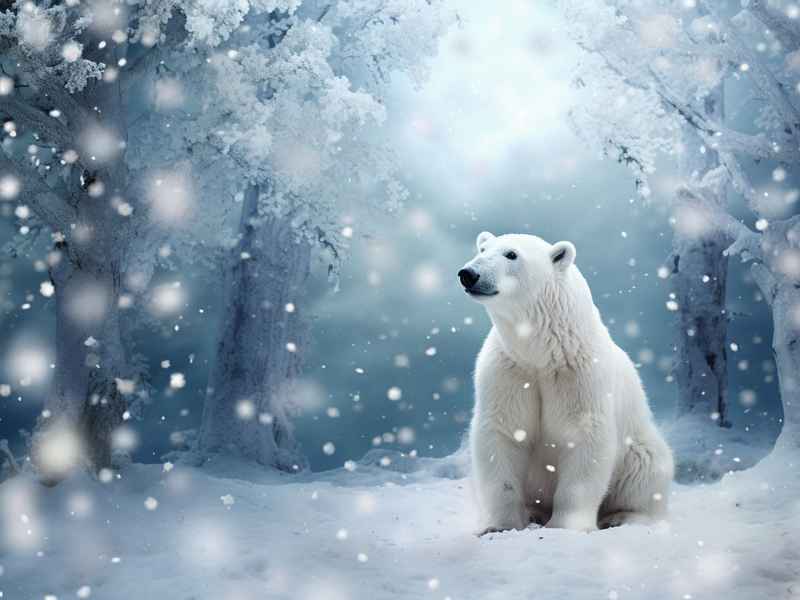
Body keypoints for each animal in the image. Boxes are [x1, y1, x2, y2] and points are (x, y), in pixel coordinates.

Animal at [458, 231, 674, 534]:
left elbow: (584, 436)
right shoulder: (509, 370)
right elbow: (502, 432)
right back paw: (533, 513)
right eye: (482, 249)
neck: (541, 353)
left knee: (647, 470)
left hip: (640, 446)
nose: (469, 274)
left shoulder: (580, 373)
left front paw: (566, 526)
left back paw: (622, 517)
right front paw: (499, 525)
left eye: (511, 254)